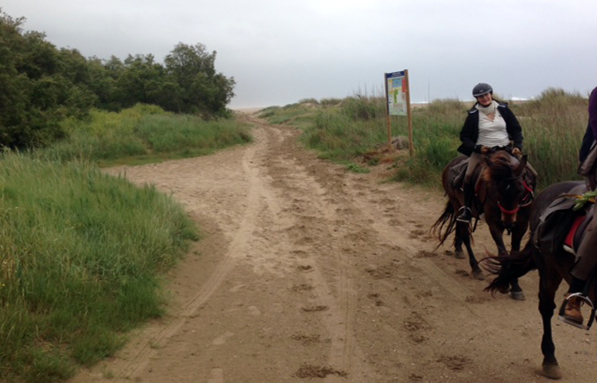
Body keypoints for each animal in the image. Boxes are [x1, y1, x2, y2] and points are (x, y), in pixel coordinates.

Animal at [430, 148, 532, 298]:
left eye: (520, 189)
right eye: (497, 190)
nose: (508, 223)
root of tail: (450, 165)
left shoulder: (521, 226)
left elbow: (514, 254)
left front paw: (515, 287)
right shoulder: (495, 225)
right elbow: (503, 253)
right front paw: (504, 285)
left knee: (459, 227)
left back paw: (458, 249)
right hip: (456, 203)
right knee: (465, 235)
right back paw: (476, 268)